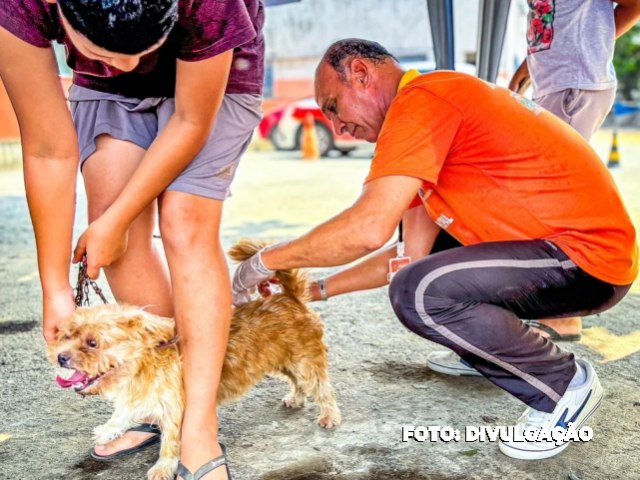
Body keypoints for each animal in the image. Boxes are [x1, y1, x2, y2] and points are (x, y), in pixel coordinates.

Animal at [48, 240, 340, 480]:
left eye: (93, 343)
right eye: (67, 335)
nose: (61, 357)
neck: (142, 368)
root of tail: (290, 298)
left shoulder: (174, 411)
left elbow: (169, 444)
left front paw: (163, 468)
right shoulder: (139, 396)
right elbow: (124, 412)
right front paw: (109, 429)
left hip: (304, 362)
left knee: (322, 388)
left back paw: (329, 415)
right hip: (283, 363)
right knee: (298, 382)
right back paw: (296, 398)